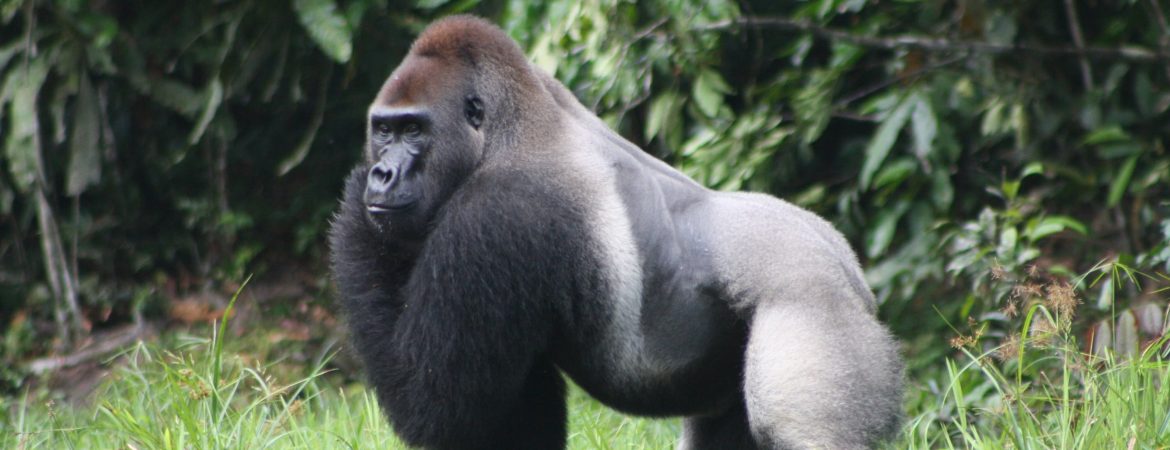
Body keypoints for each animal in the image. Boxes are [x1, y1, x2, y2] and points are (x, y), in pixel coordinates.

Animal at [329, 15, 903, 449]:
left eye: (413, 130)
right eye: (383, 130)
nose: (382, 173)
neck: (510, 130)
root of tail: (848, 268)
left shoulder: (493, 216)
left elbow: (438, 405)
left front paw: (352, 198)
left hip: (812, 303)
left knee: (801, 431)